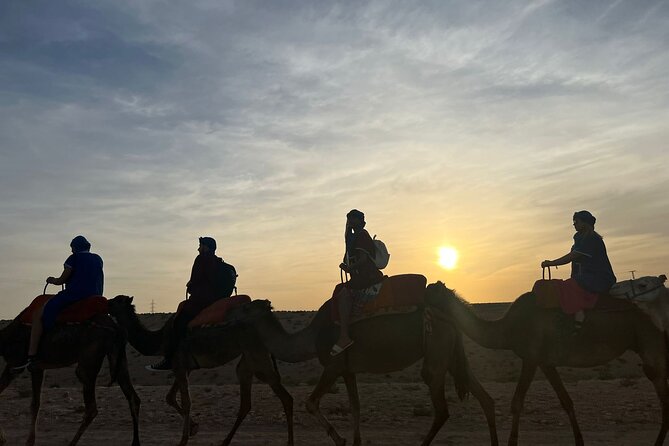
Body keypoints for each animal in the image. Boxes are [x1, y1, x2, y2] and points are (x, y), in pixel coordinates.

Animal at [0, 314, 140, 446]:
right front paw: (23, 441)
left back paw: (71, 443)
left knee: (91, 408)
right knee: (133, 397)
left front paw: (6, 439)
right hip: (117, 357)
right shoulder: (36, 368)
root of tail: (117, 327)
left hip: (89, 361)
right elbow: (35, 404)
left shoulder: (15, 365)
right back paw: (135, 442)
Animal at [105, 296, 292, 446]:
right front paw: (193, 428)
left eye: (117, 300)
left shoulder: (179, 365)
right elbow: (170, 397)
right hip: (251, 356)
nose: (106, 303)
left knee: (284, 396)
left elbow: (186, 402)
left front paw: (183, 440)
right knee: (249, 400)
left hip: (257, 354)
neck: (160, 341)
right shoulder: (183, 367)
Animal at [232, 296, 498, 446]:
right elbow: (355, 407)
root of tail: (450, 319)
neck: (312, 338)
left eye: (246, 308)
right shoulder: (348, 370)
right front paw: (354, 441)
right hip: (451, 356)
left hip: (436, 352)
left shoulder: (333, 365)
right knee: (485, 398)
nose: (231, 315)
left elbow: (310, 402)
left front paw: (340, 439)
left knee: (442, 409)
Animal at [426, 280, 664, 444]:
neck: (507, 329)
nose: (420, 306)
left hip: (652, 345)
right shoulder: (546, 362)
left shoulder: (531, 358)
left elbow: (517, 402)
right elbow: (566, 401)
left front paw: (512, 443)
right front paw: (579, 441)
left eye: (429, 292)